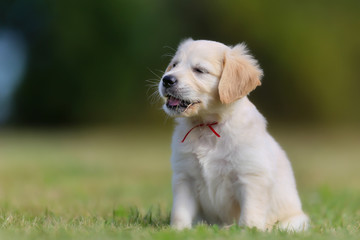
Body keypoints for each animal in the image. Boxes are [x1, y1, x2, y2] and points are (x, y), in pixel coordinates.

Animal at [158, 38, 310, 232]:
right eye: (174, 65)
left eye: (199, 70)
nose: (166, 79)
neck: (207, 126)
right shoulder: (185, 177)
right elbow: (180, 211)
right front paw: (178, 231)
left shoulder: (251, 177)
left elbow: (250, 213)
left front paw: (248, 232)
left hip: (294, 222)